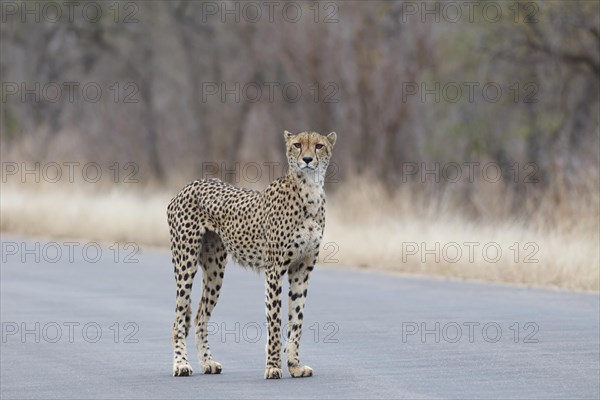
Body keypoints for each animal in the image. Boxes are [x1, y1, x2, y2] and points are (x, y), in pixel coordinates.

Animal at [168, 130, 338, 378]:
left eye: (318, 146)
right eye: (297, 145)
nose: (307, 159)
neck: (310, 190)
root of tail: (190, 185)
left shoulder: (302, 270)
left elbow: (296, 320)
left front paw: (295, 365)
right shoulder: (275, 270)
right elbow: (275, 322)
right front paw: (273, 367)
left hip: (215, 270)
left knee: (200, 317)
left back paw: (208, 363)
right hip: (186, 262)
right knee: (179, 319)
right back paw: (181, 364)